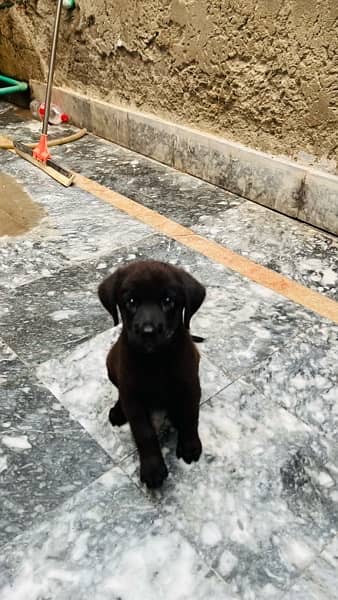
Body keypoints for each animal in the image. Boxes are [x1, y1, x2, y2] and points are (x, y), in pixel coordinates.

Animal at [97, 260, 206, 490]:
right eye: (130, 301)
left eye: (168, 300)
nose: (148, 331)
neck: (155, 359)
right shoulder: (132, 395)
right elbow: (144, 432)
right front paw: (153, 469)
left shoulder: (191, 385)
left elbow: (191, 415)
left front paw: (190, 445)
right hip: (111, 364)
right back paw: (118, 411)